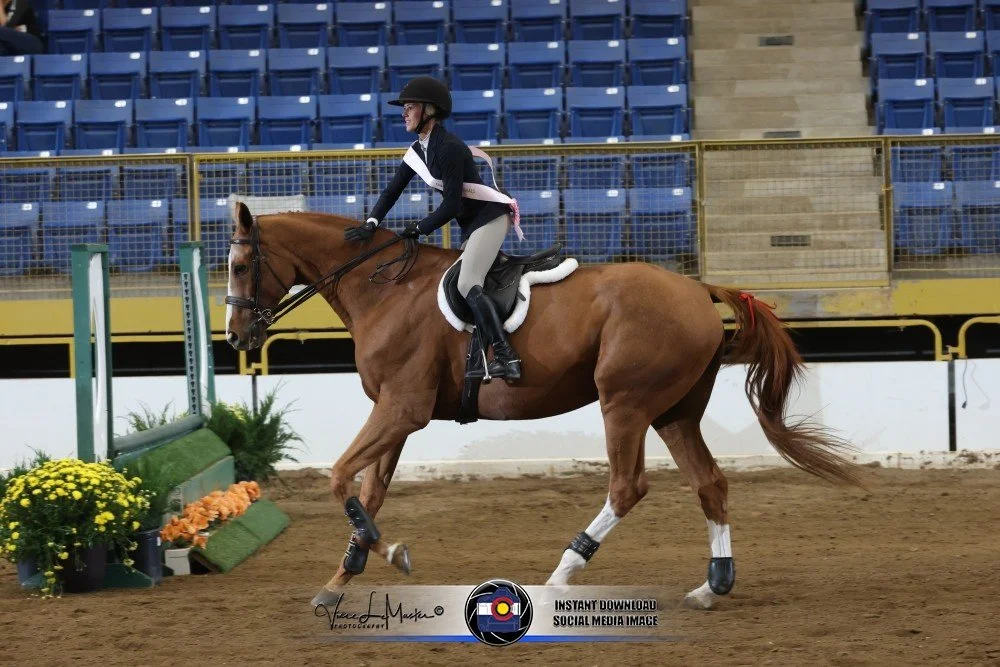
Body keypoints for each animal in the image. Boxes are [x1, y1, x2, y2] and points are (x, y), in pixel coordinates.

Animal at [223, 201, 865, 610]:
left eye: (238, 265)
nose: (235, 337)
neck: (384, 288)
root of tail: (697, 288)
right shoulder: (396, 416)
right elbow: (368, 492)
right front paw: (340, 580)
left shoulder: (400, 410)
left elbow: (337, 478)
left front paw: (393, 553)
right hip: (673, 411)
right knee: (709, 483)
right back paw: (714, 585)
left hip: (625, 403)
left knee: (627, 486)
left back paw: (561, 575)